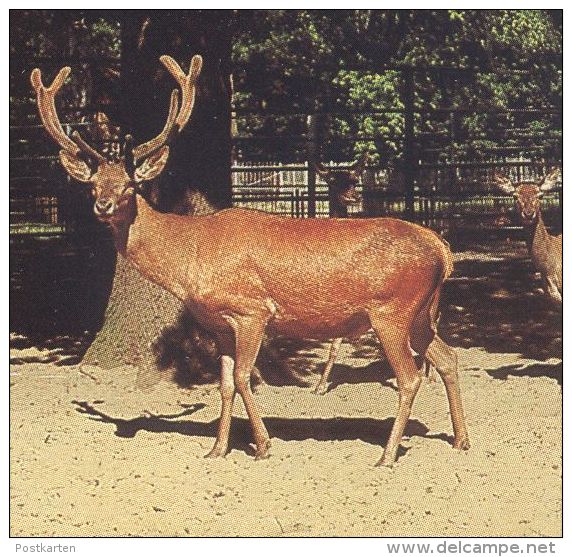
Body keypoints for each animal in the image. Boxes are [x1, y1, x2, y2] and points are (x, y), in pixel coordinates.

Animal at [32, 55, 470, 464]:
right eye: (92, 185)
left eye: (129, 184)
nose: (103, 205)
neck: (189, 259)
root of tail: (440, 247)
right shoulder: (220, 324)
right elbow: (225, 384)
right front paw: (217, 449)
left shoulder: (251, 310)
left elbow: (244, 377)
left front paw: (262, 445)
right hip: (421, 313)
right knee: (448, 358)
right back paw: (461, 440)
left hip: (391, 311)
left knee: (410, 377)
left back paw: (387, 454)